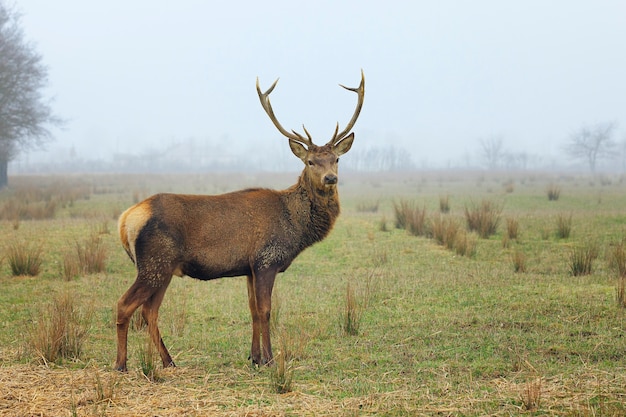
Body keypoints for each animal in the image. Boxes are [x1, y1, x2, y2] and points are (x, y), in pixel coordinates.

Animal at [114, 69, 364, 370]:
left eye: (336, 159)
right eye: (310, 162)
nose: (330, 178)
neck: (294, 226)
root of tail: (125, 219)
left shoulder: (248, 267)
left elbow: (253, 310)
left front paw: (254, 357)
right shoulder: (266, 259)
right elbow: (266, 310)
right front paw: (269, 359)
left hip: (163, 268)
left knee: (149, 311)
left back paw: (168, 361)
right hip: (154, 262)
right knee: (124, 305)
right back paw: (121, 364)